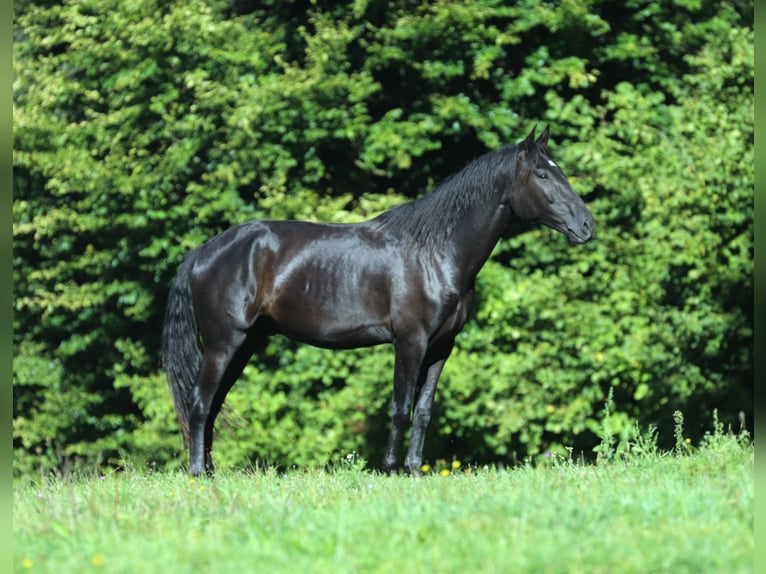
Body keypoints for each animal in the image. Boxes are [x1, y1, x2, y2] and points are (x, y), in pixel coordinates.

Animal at [160, 128, 592, 480]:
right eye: (543, 175)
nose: (587, 224)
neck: (436, 252)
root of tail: (203, 252)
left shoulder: (442, 346)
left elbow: (423, 411)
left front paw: (415, 470)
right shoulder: (410, 342)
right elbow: (401, 407)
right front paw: (390, 470)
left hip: (246, 344)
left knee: (213, 403)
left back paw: (210, 470)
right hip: (224, 343)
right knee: (200, 402)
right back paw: (198, 473)